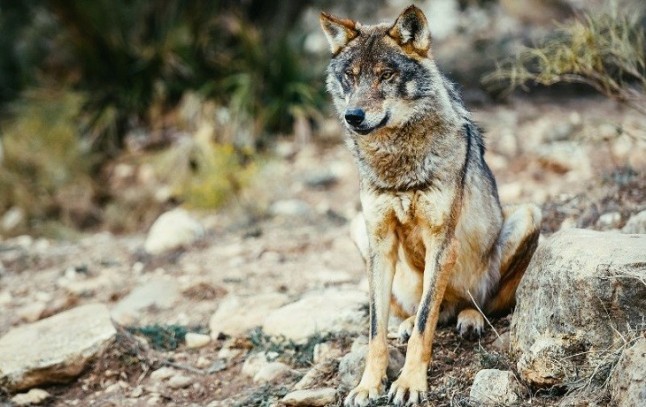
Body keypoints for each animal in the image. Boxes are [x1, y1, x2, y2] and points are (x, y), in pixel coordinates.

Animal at [320, 5, 541, 406]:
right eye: (351, 77)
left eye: (386, 75)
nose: (353, 116)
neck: (397, 163)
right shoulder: (380, 241)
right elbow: (376, 330)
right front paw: (368, 385)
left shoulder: (442, 241)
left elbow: (427, 324)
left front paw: (410, 383)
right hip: (359, 231)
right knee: (415, 312)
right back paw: (409, 324)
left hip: (529, 216)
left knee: (481, 305)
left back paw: (469, 318)